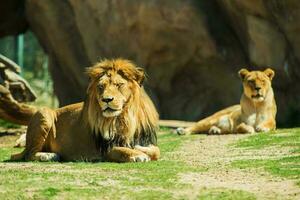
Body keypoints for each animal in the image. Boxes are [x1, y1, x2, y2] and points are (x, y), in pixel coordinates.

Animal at [9, 58, 159, 162]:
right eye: (101, 86)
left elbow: (156, 151)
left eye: (119, 85)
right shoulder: (105, 149)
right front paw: (138, 154)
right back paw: (47, 156)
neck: (124, 117)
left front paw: (141, 149)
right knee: (28, 154)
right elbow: (121, 149)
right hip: (43, 112)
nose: (106, 99)